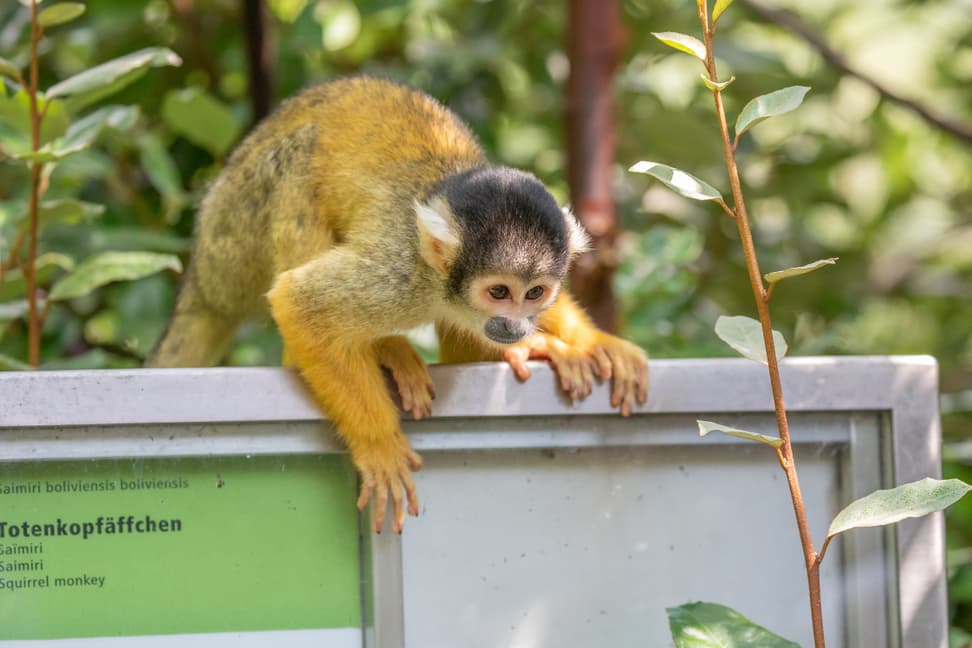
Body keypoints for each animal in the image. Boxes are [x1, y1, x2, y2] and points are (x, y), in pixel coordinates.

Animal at [148, 77, 648, 532]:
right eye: (499, 292)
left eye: (535, 293)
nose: (516, 326)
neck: (442, 282)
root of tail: (201, 271)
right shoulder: (400, 275)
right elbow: (300, 303)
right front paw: (379, 445)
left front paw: (588, 342)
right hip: (235, 232)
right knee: (294, 161)